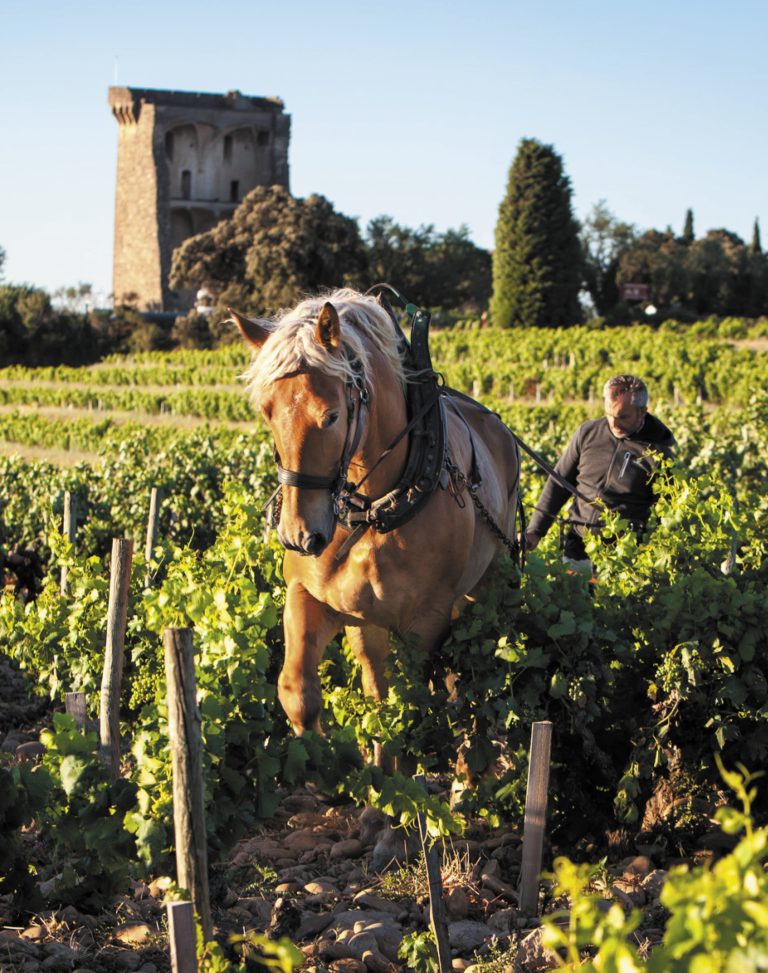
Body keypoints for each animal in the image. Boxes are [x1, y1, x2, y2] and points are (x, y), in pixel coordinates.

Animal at [232, 287, 520, 761]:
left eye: (331, 415)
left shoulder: (426, 619)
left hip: (486, 584)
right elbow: (299, 691)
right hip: (368, 620)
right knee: (375, 680)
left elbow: (406, 707)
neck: (373, 509)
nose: (299, 535)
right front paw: (318, 762)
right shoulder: (313, 596)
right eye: (268, 412)